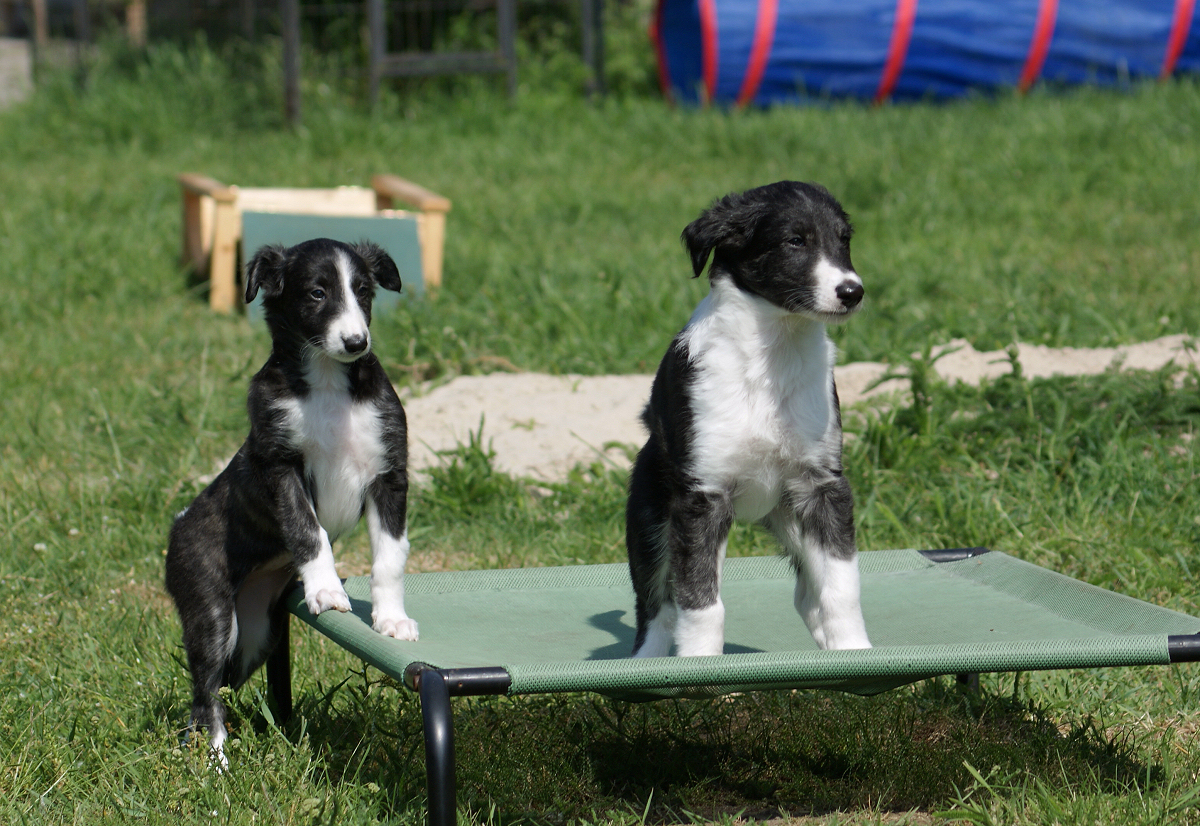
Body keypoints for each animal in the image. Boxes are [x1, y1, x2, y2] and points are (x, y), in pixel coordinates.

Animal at [165, 235, 417, 763]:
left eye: (363, 291)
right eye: (317, 293)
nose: (356, 343)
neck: (327, 382)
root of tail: (176, 525)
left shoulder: (389, 474)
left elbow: (391, 556)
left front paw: (392, 619)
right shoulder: (281, 466)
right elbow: (308, 530)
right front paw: (326, 590)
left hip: (256, 631)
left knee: (216, 689)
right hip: (212, 612)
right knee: (205, 692)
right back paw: (216, 760)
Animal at [628, 180, 873, 657]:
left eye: (844, 240)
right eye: (795, 241)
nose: (852, 292)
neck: (773, 355)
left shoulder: (823, 487)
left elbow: (841, 586)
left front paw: (855, 652)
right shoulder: (702, 499)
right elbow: (698, 599)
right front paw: (700, 664)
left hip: (788, 513)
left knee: (808, 591)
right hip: (651, 520)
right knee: (655, 604)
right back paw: (647, 661)